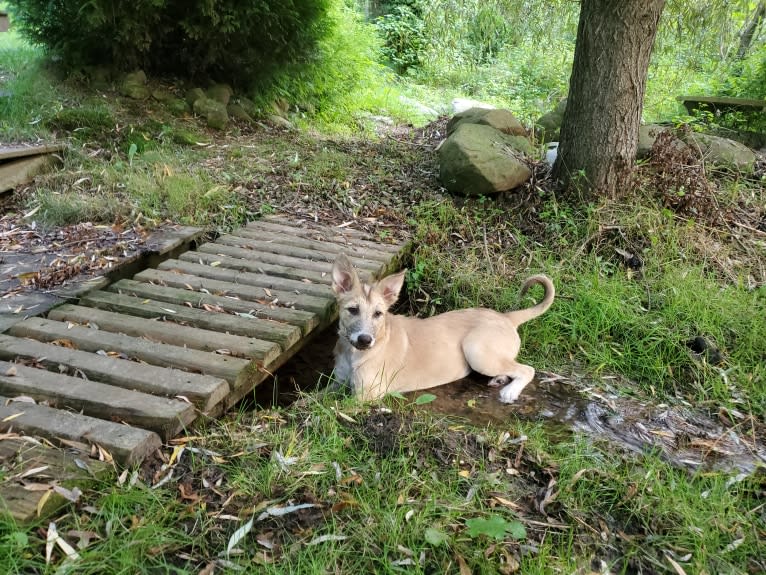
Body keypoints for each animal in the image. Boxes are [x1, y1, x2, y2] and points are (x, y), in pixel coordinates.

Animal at [332, 254, 556, 402]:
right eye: (352, 310)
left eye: (378, 314)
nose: (365, 340)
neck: (353, 353)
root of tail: (506, 317)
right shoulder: (337, 382)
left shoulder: (365, 395)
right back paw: (501, 379)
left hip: (476, 350)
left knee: (527, 369)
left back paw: (510, 391)